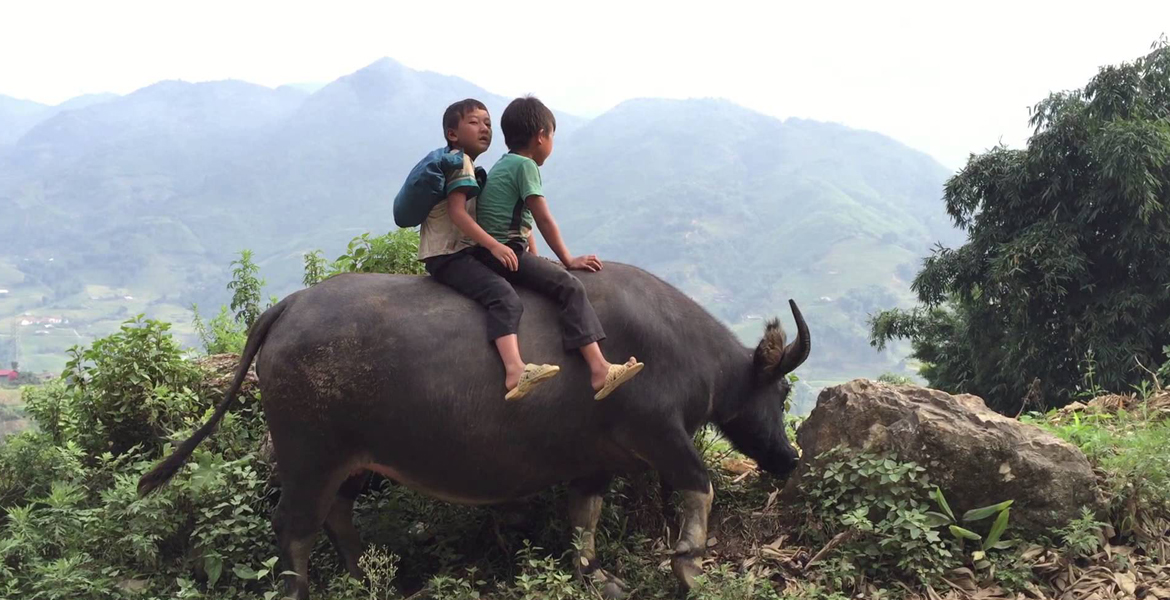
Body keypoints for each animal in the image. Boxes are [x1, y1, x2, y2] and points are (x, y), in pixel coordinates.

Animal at [139, 259, 804, 596]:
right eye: (783, 390)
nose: (790, 457)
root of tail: (289, 306)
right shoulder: (659, 434)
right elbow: (700, 486)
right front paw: (688, 565)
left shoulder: (592, 461)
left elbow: (584, 516)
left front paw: (594, 574)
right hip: (309, 453)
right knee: (295, 527)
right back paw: (303, 590)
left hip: (353, 459)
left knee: (336, 515)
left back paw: (367, 577)